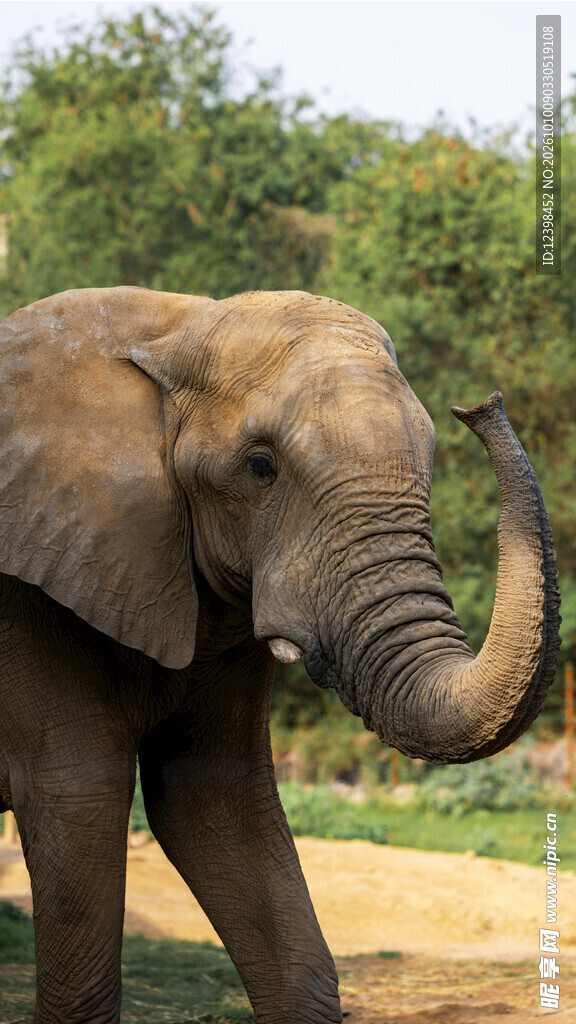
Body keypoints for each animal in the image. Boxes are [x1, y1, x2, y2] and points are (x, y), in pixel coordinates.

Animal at [0, 286, 560, 1023]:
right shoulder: (25, 600)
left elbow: (217, 801)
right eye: (260, 467)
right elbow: (79, 791)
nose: (480, 405)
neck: (168, 328)